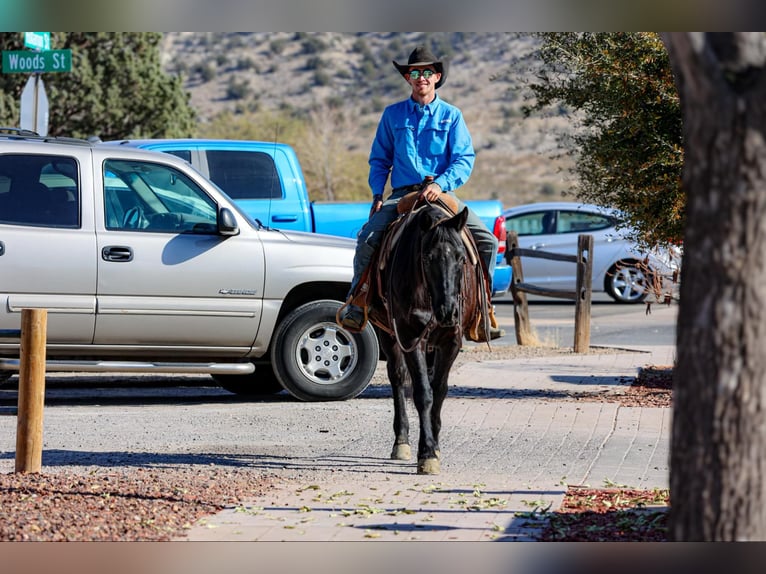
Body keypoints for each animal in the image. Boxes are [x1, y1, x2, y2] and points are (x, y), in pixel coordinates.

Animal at [365, 195, 490, 474]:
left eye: (461, 258)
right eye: (426, 258)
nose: (448, 311)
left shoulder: (451, 340)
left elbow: (439, 390)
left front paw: (436, 445)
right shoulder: (411, 337)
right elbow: (423, 393)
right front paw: (427, 453)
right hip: (389, 335)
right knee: (398, 378)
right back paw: (401, 442)